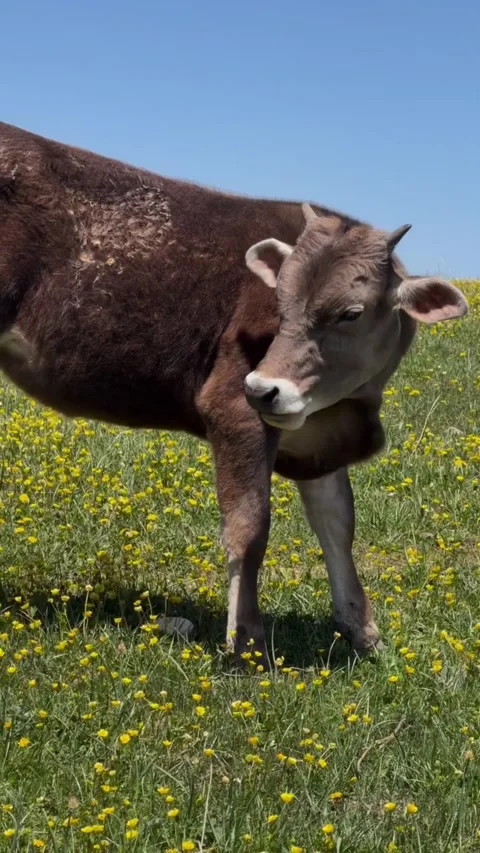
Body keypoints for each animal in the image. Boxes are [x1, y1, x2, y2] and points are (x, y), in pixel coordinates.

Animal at [0, 122, 468, 666]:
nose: (264, 389)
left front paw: (362, 629)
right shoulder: (234, 411)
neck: (351, 408)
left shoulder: (318, 435)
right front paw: (246, 642)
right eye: (280, 302)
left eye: (351, 313)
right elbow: (248, 528)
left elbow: (337, 525)